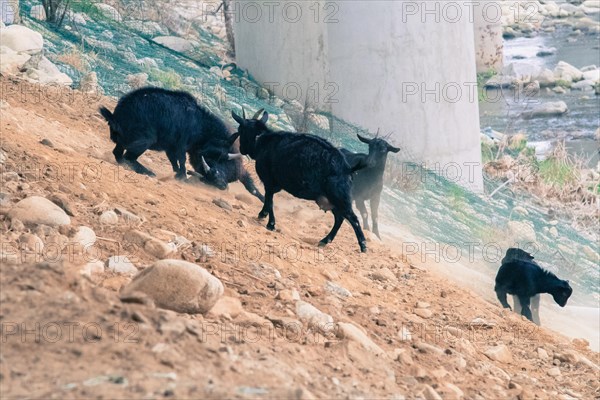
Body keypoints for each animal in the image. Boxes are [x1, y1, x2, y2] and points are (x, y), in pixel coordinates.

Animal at [232, 108, 368, 253]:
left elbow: (269, 200)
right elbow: (269, 200)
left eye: (241, 130)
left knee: (353, 219)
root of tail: (347, 168)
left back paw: (363, 245)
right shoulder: (273, 184)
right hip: (330, 200)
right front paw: (264, 216)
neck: (262, 140)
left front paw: (269, 223)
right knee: (339, 218)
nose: (241, 149)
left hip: (340, 197)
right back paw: (325, 241)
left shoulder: (269, 181)